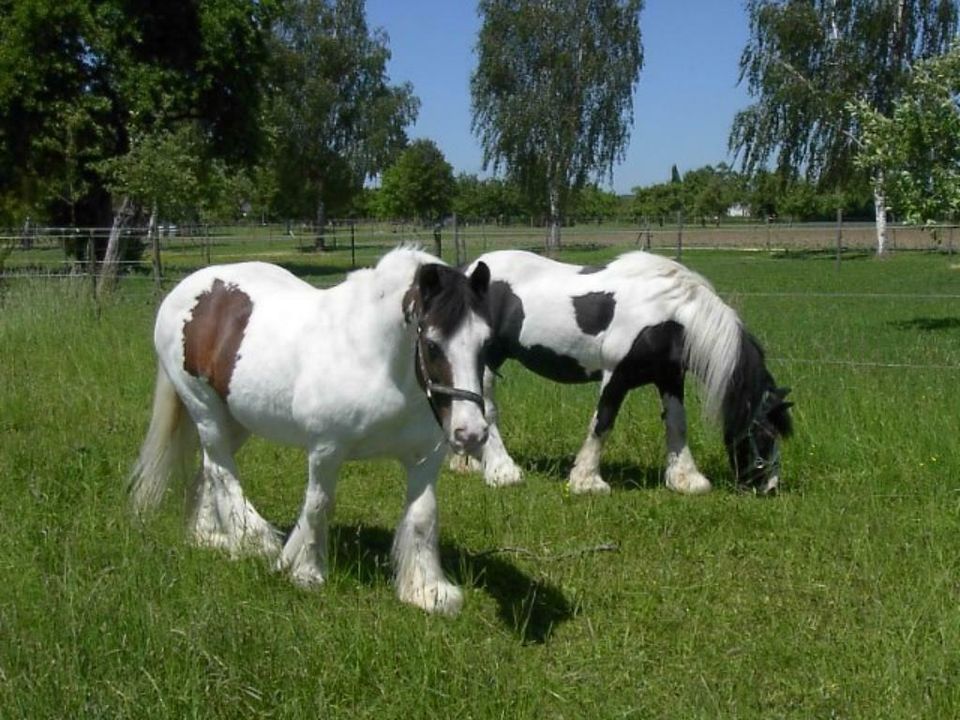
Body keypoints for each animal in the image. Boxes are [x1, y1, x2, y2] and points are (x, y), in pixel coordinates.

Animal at [130, 246, 492, 612]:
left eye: (486, 343)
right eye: (432, 344)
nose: (471, 433)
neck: (374, 358)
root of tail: (188, 288)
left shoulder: (424, 458)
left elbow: (422, 515)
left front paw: (427, 591)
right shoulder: (326, 449)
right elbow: (319, 505)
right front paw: (305, 572)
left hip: (236, 420)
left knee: (208, 470)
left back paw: (209, 536)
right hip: (205, 411)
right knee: (221, 471)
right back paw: (254, 541)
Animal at [458, 249, 796, 496]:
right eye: (765, 434)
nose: (769, 487)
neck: (669, 316)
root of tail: (466, 270)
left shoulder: (669, 377)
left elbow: (677, 424)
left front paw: (686, 480)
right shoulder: (615, 376)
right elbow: (602, 423)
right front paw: (587, 482)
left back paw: (468, 464)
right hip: (486, 360)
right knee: (486, 408)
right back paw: (503, 472)